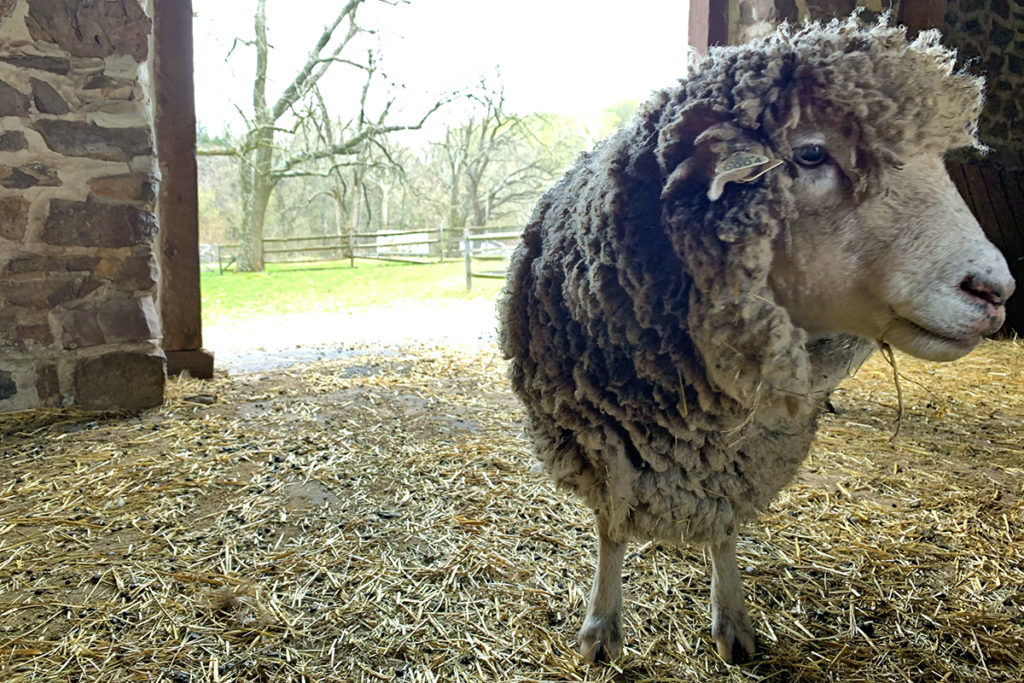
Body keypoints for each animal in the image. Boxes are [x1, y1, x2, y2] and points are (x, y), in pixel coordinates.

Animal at [497, 17, 1015, 664]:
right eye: (812, 153)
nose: (995, 291)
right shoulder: (601, 444)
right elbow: (612, 531)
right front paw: (601, 630)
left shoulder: (745, 456)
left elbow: (724, 528)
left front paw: (733, 623)